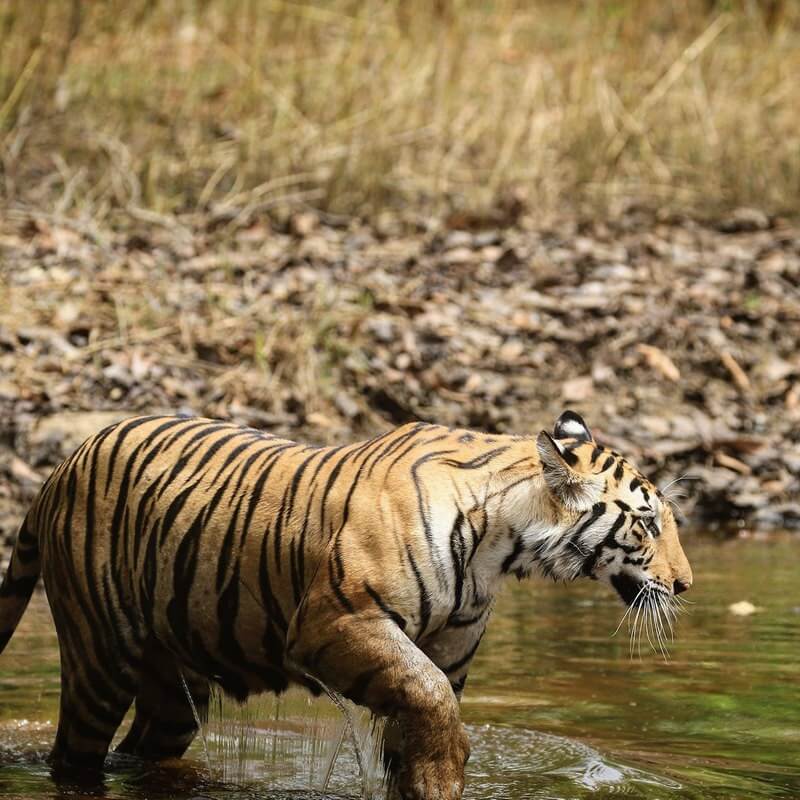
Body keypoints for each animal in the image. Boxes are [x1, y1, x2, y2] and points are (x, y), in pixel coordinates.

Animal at [0, 412, 692, 800]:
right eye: (647, 523)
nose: (685, 584)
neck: (500, 545)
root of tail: (60, 469)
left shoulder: (440, 654)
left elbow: (421, 717)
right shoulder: (335, 621)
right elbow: (431, 701)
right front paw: (447, 773)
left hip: (173, 683)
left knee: (145, 747)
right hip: (98, 658)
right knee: (74, 757)